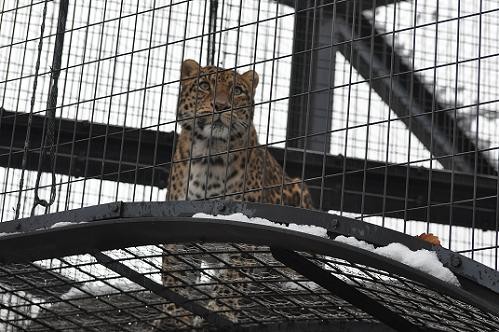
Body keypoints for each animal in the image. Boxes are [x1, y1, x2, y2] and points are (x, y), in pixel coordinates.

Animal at [154, 59, 314, 330]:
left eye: (237, 90)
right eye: (204, 85)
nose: (220, 106)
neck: (210, 155)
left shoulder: (244, 234)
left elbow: (232, 279)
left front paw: (221, 312)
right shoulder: (180, 233)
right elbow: (176, 276)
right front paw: (175, 316)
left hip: (299, 189)